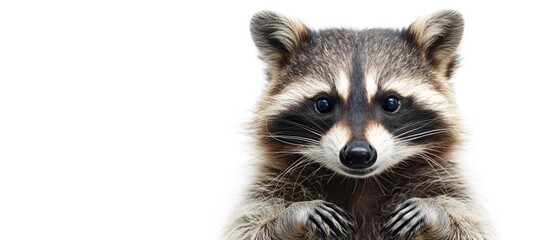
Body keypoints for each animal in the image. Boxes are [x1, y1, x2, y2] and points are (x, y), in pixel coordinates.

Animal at [225, 9, 492, 240]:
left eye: (391, 102)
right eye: (323, 104)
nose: (358, 154)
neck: (360, 183)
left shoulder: (445, 178)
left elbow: (470, 225)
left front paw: (436, 213)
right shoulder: (271, 180)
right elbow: (249, 226)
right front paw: (293, 214)